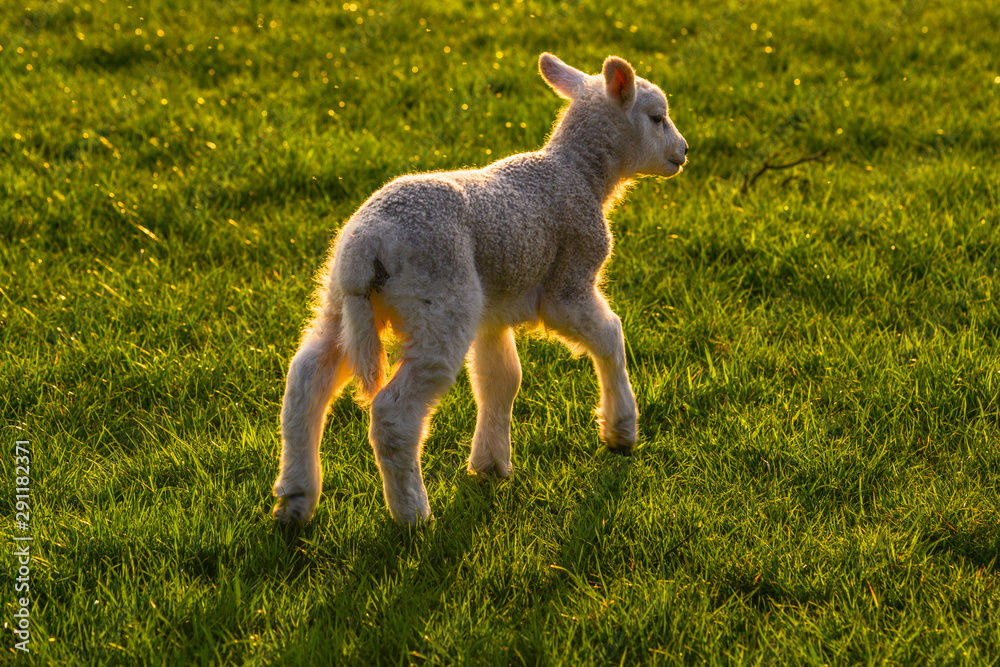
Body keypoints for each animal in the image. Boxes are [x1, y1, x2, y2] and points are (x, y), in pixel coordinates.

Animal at [272, 53, 688, 526]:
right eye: (657, 118)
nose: (683, 151)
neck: (579, 174)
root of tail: (367, 248)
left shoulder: (494, 308)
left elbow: (501, 377)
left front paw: (490, 465)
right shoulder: (568, 284)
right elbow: (609, 335)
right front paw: (620, 432)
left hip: (342, 302)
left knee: (306, 381)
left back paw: (296, 500)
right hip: (439, 303)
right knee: (393, 414)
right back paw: (412, 513)